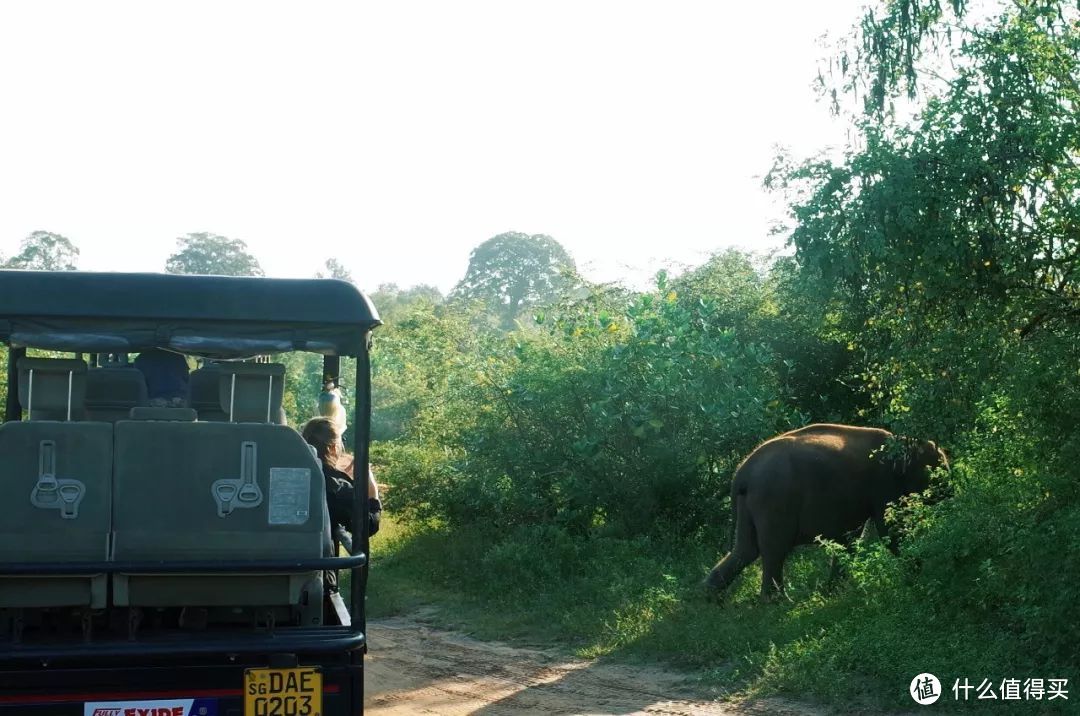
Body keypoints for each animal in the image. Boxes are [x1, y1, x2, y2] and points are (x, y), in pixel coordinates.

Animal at [699, 425, 946, 600]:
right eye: (939, 473)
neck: (904, 442)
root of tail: (741, 473)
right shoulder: (884, 482)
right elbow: (890, 530)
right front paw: (918, 572)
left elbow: (850, 537)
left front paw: (836, 590)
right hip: (773, 499)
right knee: (774, 549)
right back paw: (777, 603)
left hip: (751, 502)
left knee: (746, 549)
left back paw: (709, 599)